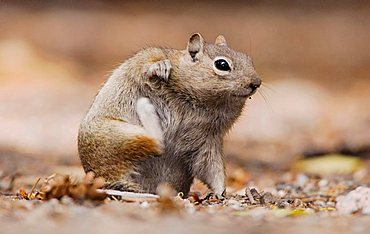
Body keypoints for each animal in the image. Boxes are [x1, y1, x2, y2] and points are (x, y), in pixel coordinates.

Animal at [78, 31, 260, 196]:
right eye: (222, 64)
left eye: (248, 59)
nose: (256, 83)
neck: (198, 100)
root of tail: (105, 180)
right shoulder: (147, 56)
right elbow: (146, 65)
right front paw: (160, 67)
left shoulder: (209, 142)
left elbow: (213, 170)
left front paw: (221, 193)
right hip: (118, 136)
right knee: (157, 143)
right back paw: (147, 109)